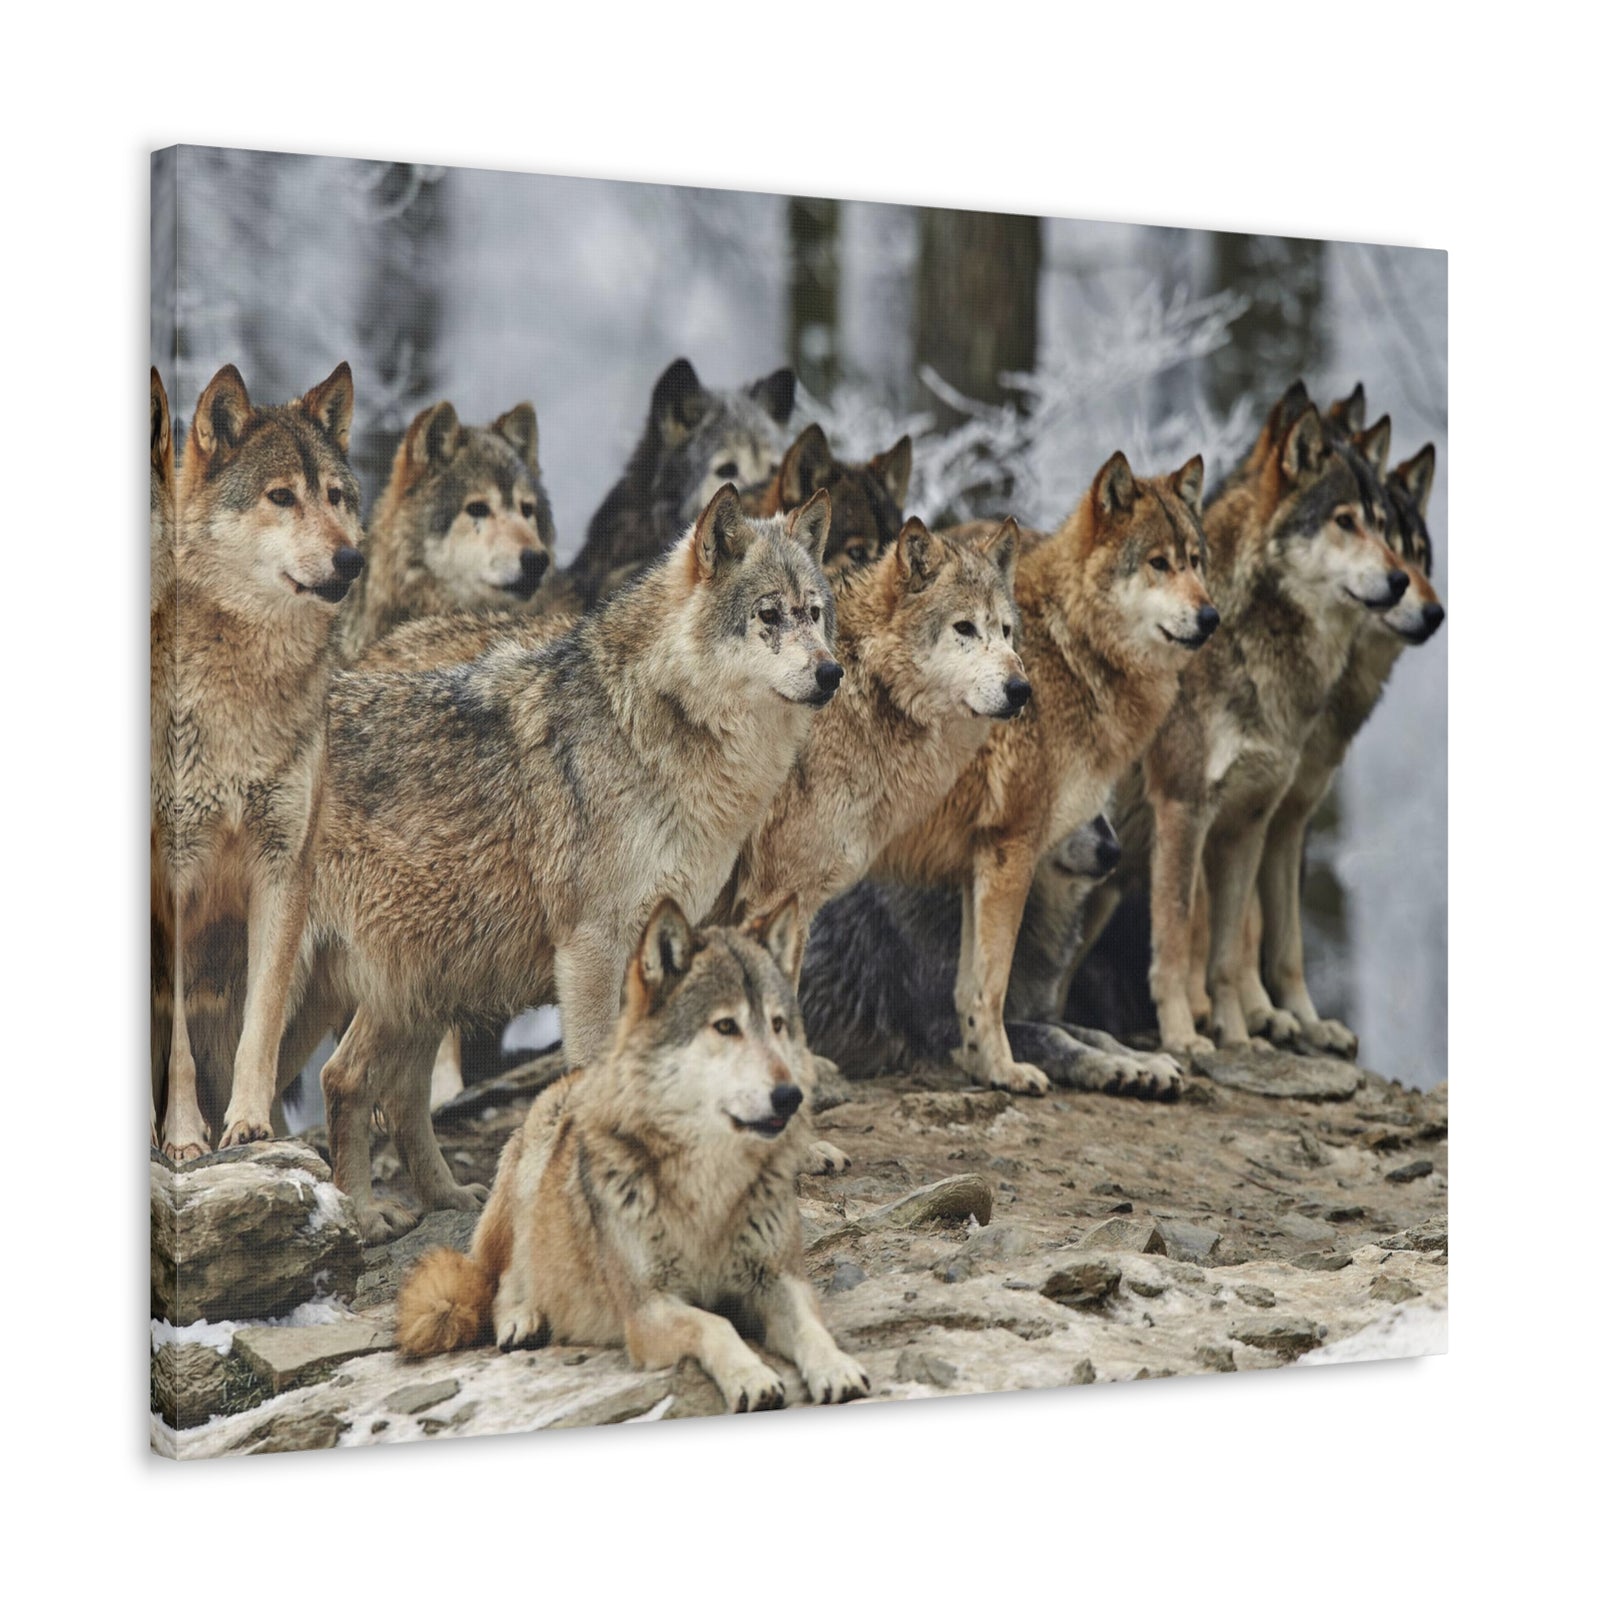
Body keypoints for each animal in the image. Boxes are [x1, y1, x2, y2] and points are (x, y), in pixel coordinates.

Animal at [151, 362, 365, 1159]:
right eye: (280, 497)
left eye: (335, 496)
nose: (352, 558)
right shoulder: (173, 878)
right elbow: (180, 1044)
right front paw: (186, 1138)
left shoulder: (283, 867)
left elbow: (259, 1026)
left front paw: (246, 1125)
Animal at [292, 485, 839, 1241]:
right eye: (768, 615)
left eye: (814, 613)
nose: (832, 672)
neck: (654, 727)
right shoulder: (591, 949)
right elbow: (592, 1069)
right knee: (336, 1081)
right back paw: (360, 1215)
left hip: (424, 976)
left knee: (375, 1088)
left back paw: (442, 1198)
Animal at [395, 898, 870, 1411]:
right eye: (726, 1026)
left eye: (778, 1024)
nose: (790, 1097)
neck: (709, 1186)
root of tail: (571, 1078)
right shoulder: (647, 1310)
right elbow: (717, 1325)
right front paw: (752, 1377)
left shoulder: (779, 1279)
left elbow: (810, 1328)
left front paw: (837, 1368)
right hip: (528, 1177)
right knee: (500, 1281)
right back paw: (522, 1319)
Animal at [869, 451, 1216, 1095]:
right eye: (1158, 564)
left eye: (1195, 561)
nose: (1211, 617)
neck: (1071, 649)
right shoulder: (1013, 847)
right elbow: (995, 985)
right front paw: (1005, 1070)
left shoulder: (979, 858)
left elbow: (974, 989)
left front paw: (982, 1066)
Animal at [1136, 383, 1408, 1055]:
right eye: (1344, 521)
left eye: (1384, 526)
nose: (1400, 582)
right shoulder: (1184, 809)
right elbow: (1180, 937)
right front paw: (1183, 1036)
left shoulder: (1259, 819)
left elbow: (1244, 949)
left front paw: (1244, 1037)